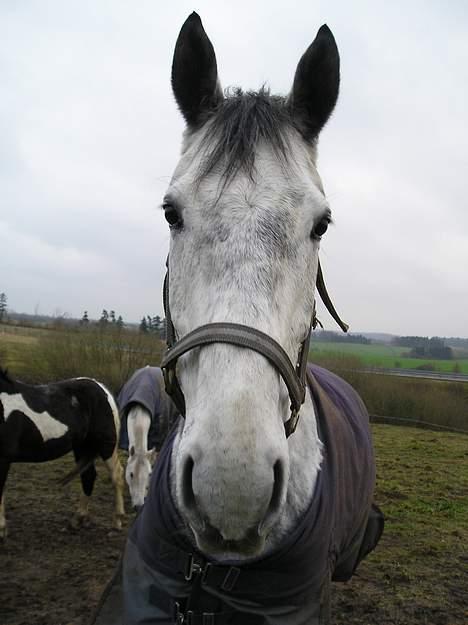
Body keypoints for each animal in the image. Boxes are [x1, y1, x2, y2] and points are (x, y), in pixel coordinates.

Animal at [0, 368, 124, 540]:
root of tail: (101, 388)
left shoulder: (3, 459)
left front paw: (1, 529)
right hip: (82, 447)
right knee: (88, 477)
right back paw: (77, 520)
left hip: (106, 446)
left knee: (116, 476)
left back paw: (116, 523)